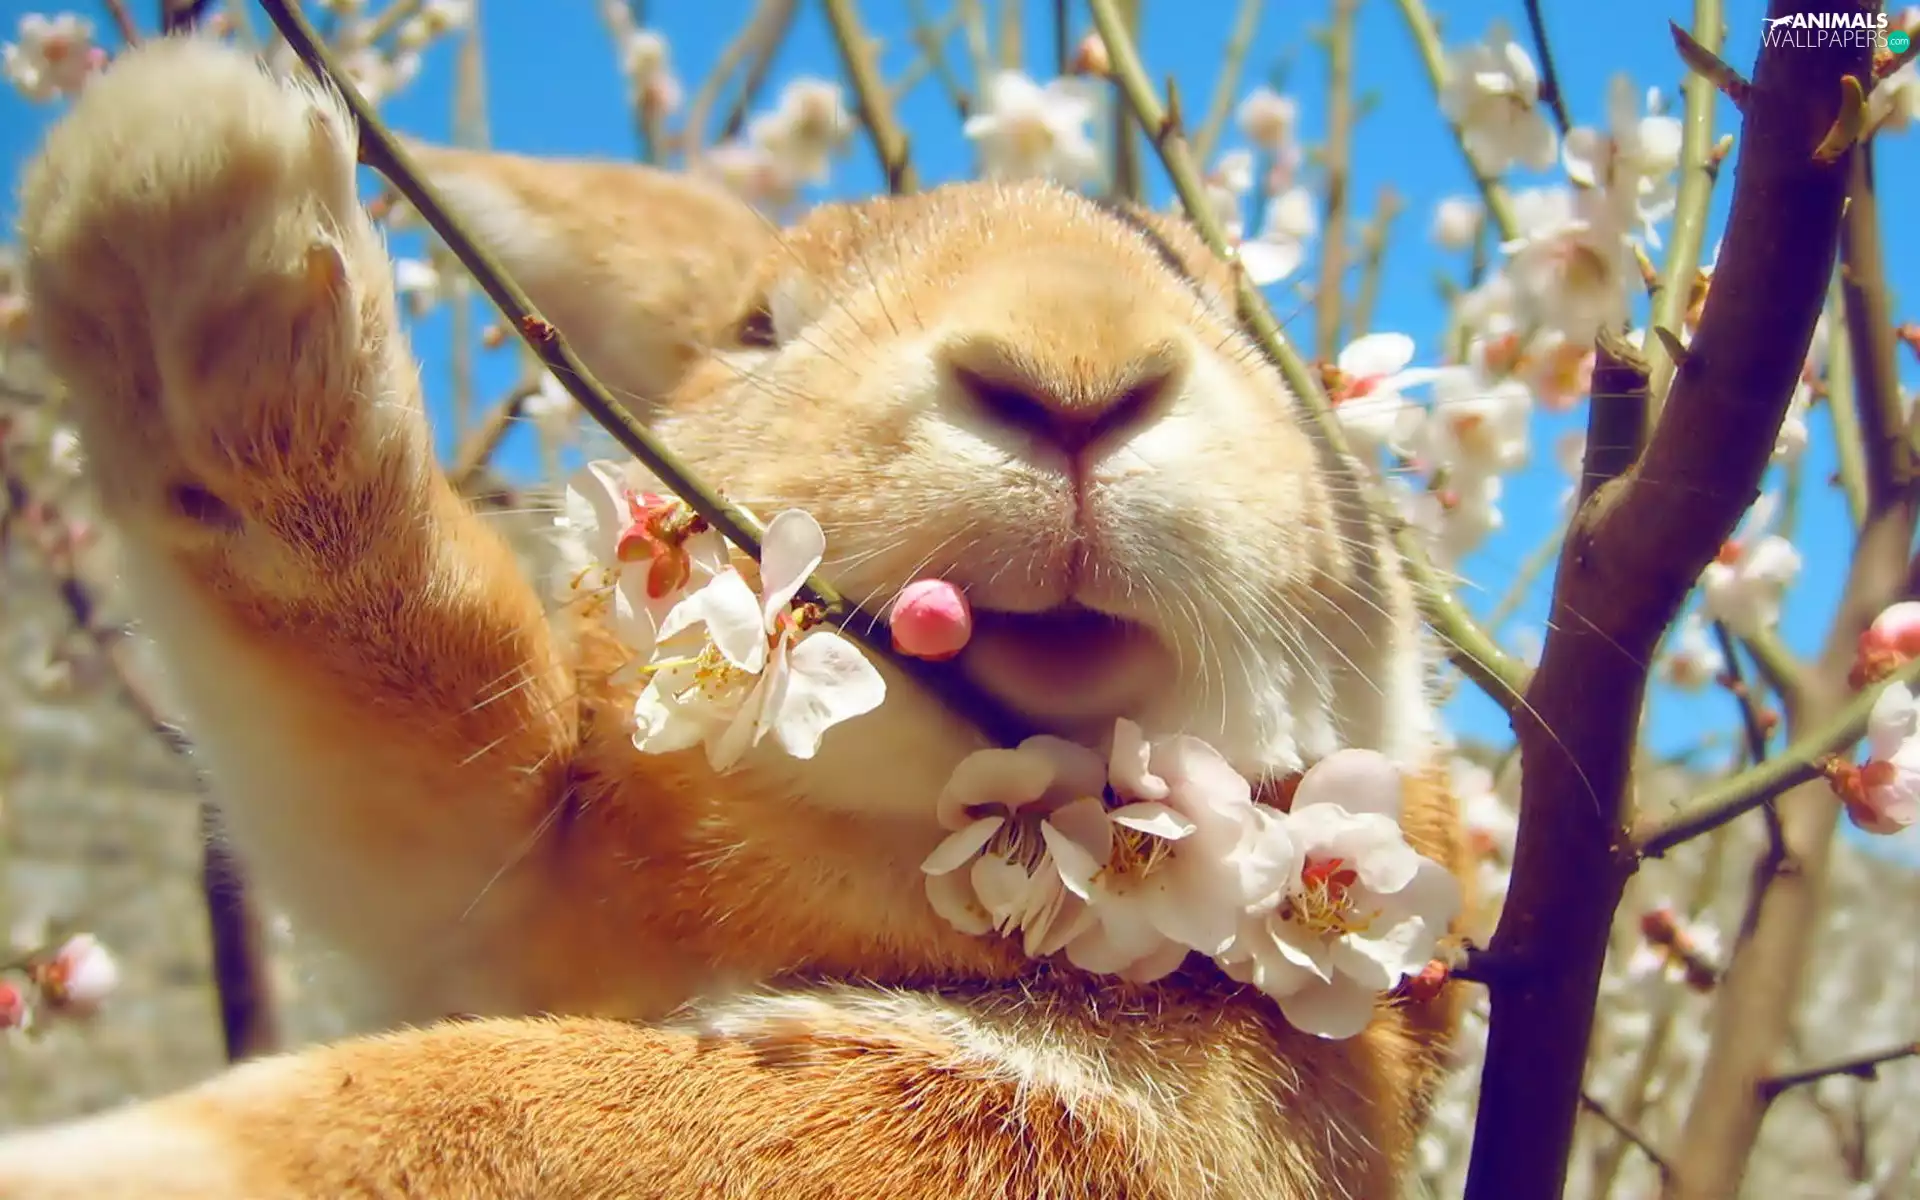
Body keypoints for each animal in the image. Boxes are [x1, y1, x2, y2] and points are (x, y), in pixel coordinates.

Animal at [0, 33, 1467, 1199]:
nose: (1074, 368)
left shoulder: (1085, 1116)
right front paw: (182, 197)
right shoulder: (490, 883)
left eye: (1236, 314)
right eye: (761, 327)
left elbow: (501, 1116)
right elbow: (420, 699)